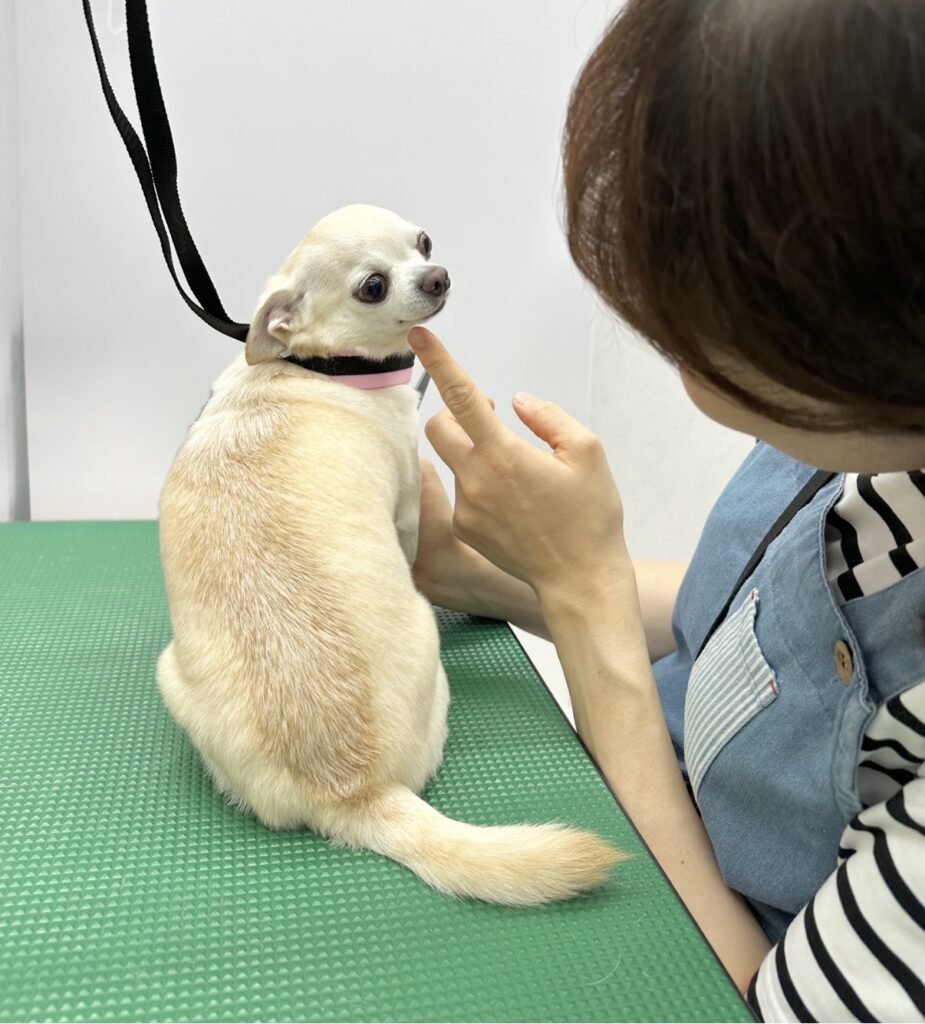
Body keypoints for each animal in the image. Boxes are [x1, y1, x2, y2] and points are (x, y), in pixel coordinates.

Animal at [157, 204, 623, 904]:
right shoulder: (405, 506)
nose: (438, 276)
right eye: (372, 287)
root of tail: (355, 793)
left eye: (423, 241)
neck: (311, 364)